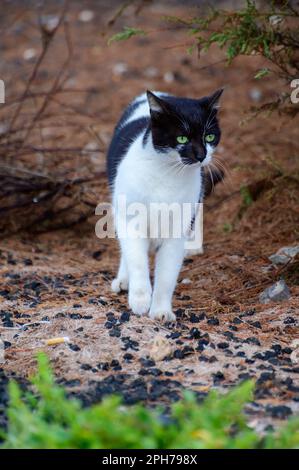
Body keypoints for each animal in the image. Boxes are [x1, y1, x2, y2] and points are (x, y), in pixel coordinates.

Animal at [106, 90, 224, 322]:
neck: (169, 173)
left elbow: (167, 275)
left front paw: (160, 311)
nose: (201, 156)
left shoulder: (177, 230)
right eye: (182, 138)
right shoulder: (130, 220)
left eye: (209, 137)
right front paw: (140, 299)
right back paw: (124, 280)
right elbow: (137, 260)